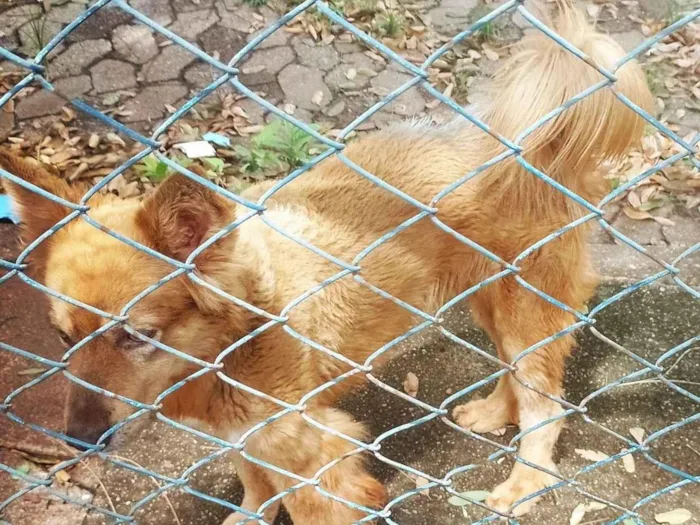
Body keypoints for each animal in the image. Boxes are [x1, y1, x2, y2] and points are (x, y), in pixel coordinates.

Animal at [0, 8, 652, 524]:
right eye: (63, 338)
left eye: (139, 336)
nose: (76, 442)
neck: (239, 335)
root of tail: (529, 142)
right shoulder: (247, 440)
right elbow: (254, 484)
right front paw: (248, 516)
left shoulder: (318, 461)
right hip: (490, 301)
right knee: (517, 377)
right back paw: (494, 412)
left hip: (526, 304)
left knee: (547, 403)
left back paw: (525, 482)